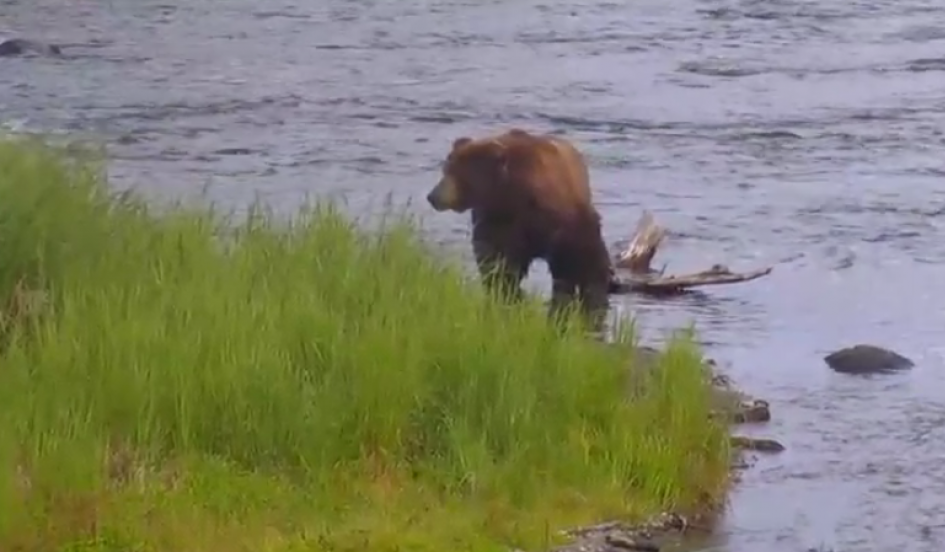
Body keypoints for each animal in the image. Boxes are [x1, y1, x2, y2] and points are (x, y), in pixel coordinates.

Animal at [425, 128, 613, 323]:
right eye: (446, 170)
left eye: (458, 173)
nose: (433, 196)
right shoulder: (498, 221)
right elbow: (497, 261)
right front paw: (505, 291)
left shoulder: (559, 223)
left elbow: (574, 262)